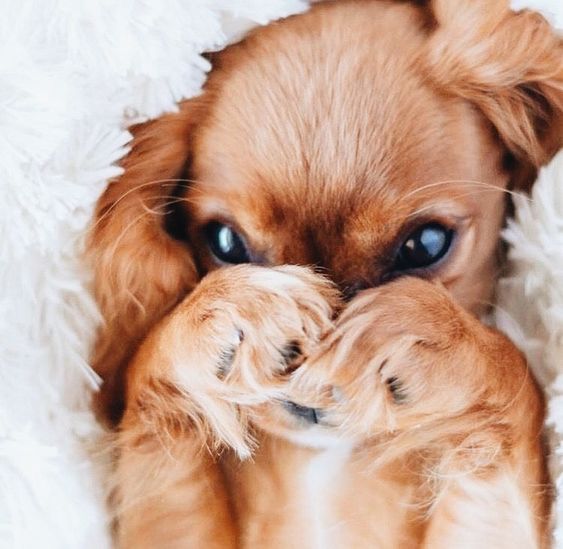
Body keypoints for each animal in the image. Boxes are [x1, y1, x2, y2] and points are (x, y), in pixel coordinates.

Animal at [88, 2, 563, 544]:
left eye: (425, 245)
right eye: (226, 243)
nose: (308, 394)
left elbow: (516, 380)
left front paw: (426, 336)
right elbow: (148, 363)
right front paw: (232, 312)